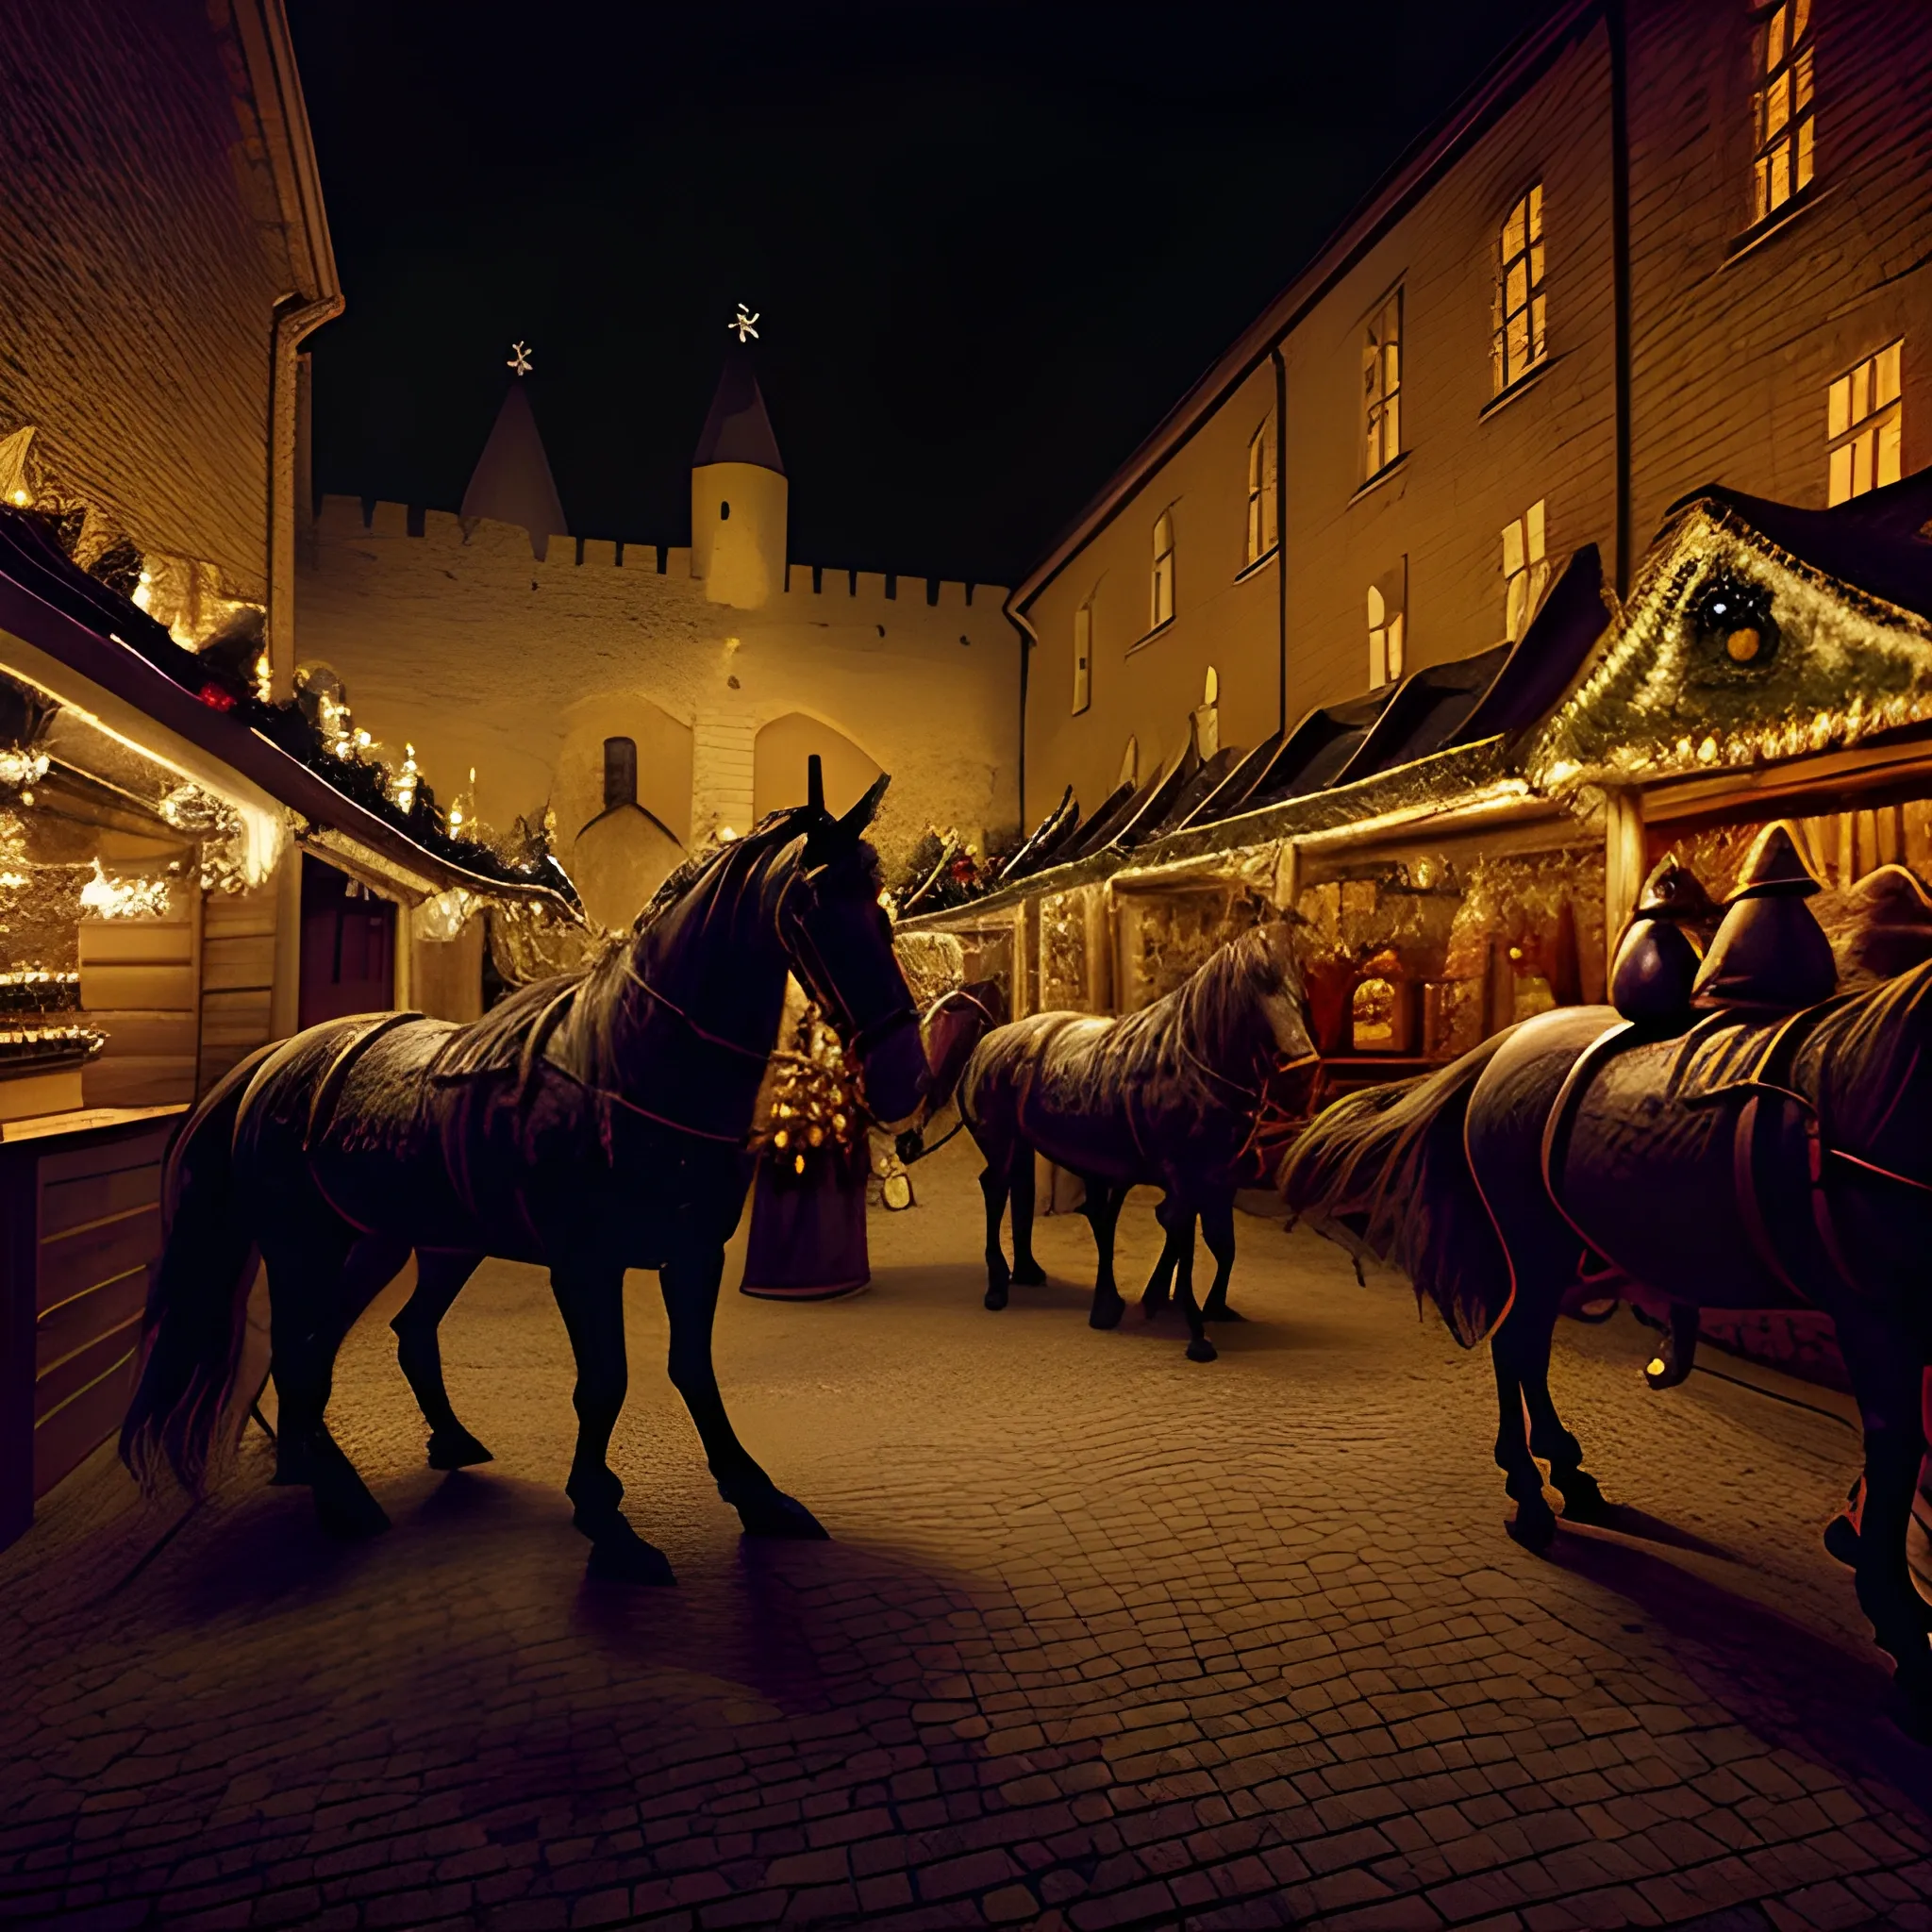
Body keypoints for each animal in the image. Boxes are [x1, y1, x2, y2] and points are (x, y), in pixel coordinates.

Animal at [121, 760, 927, 1576]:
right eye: (811, 904)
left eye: (879, 902)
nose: (906, 1077)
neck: (631, 1063)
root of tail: (276, 1059)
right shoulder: (584, 1265)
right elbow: (604, 1383)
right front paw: (605, 1517)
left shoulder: (695, 1255)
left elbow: (692, 1371)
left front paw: (756, 1496)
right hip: (302, 1247)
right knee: (299, 1353)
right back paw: (338, 1495)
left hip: (408, 1245)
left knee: (381, 1335)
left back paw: (388, 1450)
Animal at [954, 927, 1313, 1367]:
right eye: (1255, 985)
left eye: (1299, 988)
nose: (1302, 1064)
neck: (1188, 1067)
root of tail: (986, 1044)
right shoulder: (1185, 1180)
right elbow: (1185, 1243)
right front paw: (1195, 1333)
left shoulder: (1215, 1183)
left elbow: (1218, 1245)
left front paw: (1195, 1305)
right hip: (1002, 1143)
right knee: (995, 1190)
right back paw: (998, 1286)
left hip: (1025, 1147)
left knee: (1026, 1194)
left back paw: (1031, 1273)